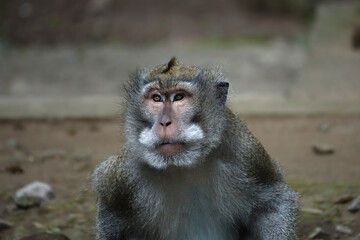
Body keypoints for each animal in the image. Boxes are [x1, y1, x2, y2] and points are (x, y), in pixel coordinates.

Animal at [92, 57, 298, 239]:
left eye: (179, 97)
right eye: (156, 98)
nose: (164, 122)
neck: (182, 166)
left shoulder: (246, 156)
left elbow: (274, 203)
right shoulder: (123, 177)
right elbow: (112, 212)